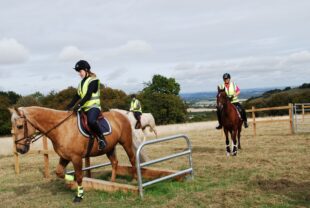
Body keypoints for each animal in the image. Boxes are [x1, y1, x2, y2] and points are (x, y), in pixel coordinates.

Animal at [9, 106, 137, 202]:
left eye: (20, 126)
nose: (20, 149)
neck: (61, 128)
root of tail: (121, 115)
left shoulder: (76, 158)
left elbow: (80, 176)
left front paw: (79, 196)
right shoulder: (64, 157)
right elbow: (60, 173)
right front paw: (73, 179)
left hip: (126, 143)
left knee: (132, 159)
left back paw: (135, 180)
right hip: (109, 148)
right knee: (114, 162)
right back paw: (112, 182)